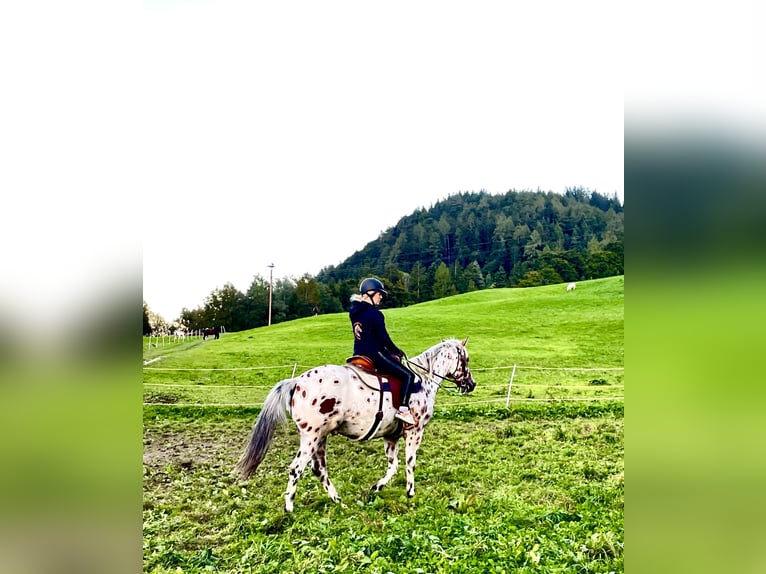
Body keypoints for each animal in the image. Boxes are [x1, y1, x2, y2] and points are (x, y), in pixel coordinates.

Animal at [236, 338, 476, 512]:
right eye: (466, 359)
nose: (471, 384)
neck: (423, 381)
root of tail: (296, 382)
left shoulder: (390, 436)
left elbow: (393, 465)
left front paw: (377, 487)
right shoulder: (415, 432)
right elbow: (410, 463)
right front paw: (410, 492)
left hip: (320, 438)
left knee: (319, 469)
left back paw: (338, 501)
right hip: (311, 437)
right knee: (297, 469)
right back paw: (289, 508)